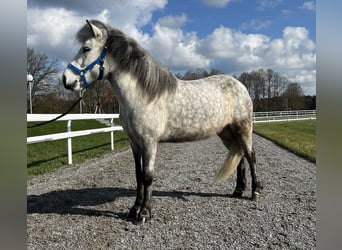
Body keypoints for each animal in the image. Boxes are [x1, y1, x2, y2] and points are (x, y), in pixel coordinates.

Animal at [62, 19, 264, 223]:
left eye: (86, 48)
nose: (65, 79)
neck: (144, 95)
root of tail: (240, 86)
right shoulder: (134, 142)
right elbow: (138, 175)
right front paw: (134, 209)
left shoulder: (149, 142)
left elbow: (148, 176)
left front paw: (144, 213)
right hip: (227, 133)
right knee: (239, 157)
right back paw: (238, 190)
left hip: (243, 129)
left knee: (250, 156)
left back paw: (255, 192)